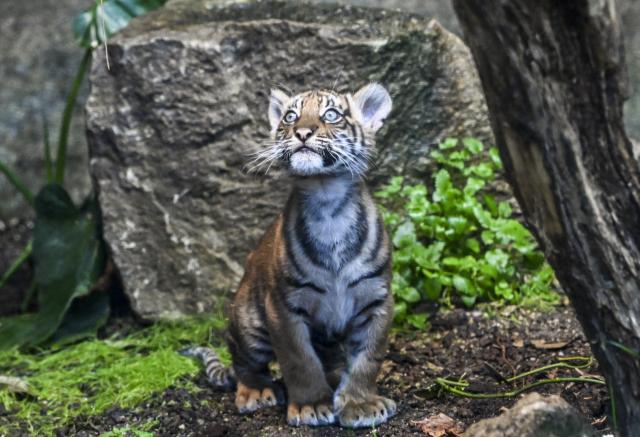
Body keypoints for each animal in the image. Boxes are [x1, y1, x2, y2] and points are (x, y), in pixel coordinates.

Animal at [184, 83, 395, 428]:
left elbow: (368, 358)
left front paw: (359, 404)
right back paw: (257, 393)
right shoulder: (283, 306)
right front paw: (312, 406)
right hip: (248, 323)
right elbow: (300, 360)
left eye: (331, 115)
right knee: (244, 364)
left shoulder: (376, 300)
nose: (302, 132)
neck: (327, 200)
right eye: (290, 116)